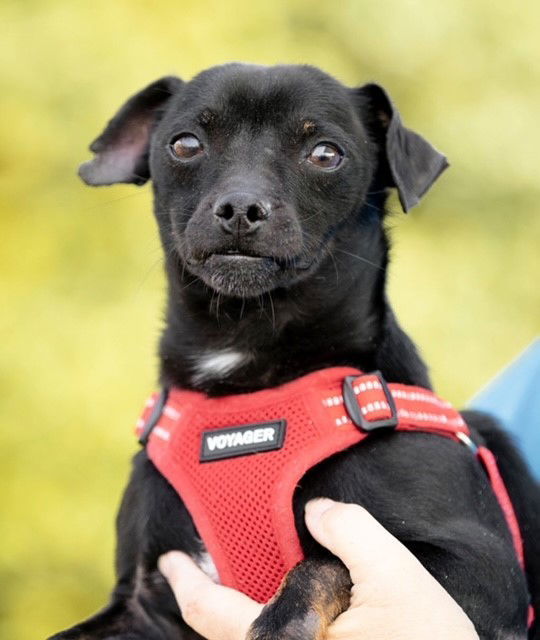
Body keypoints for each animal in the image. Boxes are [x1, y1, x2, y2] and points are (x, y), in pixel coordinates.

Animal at [50, 65, 540, 640]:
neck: (246, 369)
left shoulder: (480, 573)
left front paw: (279, 624)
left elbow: (322, 562)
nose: (241, 208)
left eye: (326, 153)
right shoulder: (142, 601)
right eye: (185, 144)